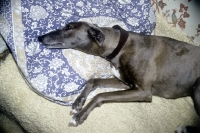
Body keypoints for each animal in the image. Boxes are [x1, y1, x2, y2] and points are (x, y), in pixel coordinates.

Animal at [38, 21, 199, 132]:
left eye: (69, 27)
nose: (39, 37)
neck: (120, 47)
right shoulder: (125, 82)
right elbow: (93, 80)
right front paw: (78, 103)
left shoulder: (143, 91)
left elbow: (100, 95)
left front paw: (79, 116)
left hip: (197, 87)